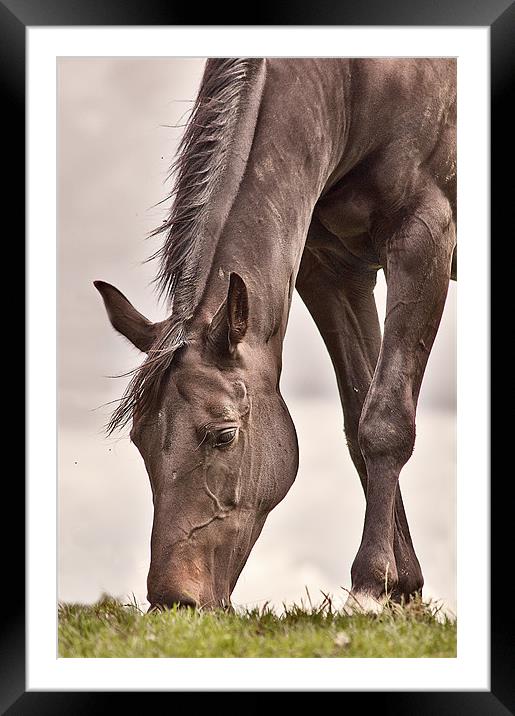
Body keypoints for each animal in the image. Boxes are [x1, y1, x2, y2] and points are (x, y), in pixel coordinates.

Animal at [94, 58, 458, 612]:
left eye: (223, 434)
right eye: (139, 439)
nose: (174, 601)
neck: (352, 84)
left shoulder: (425, 236)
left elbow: (385, 421)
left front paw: (370, 587)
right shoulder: (331, 270)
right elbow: (359, 422)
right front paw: (402, 590)